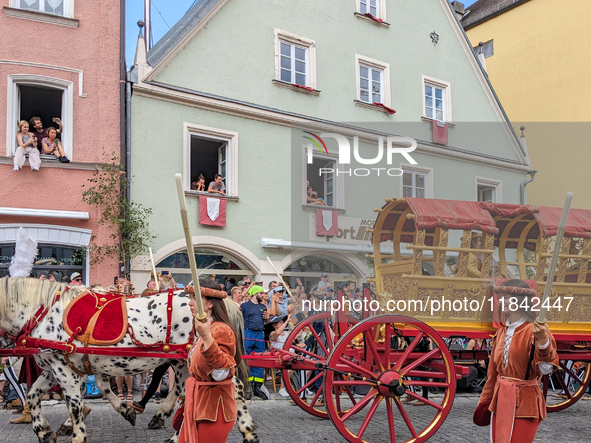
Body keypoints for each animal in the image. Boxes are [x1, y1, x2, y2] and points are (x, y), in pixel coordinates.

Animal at [0, 278, 260, 443]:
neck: (44, 312)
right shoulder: (54, 368)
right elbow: (33, 394)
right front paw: (44, 431)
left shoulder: (66, 371)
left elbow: (74, 406)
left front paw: (77, 434)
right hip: (182, 362)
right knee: (185, 391)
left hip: (195, 357)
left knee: (232, 385)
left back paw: (247, 431)